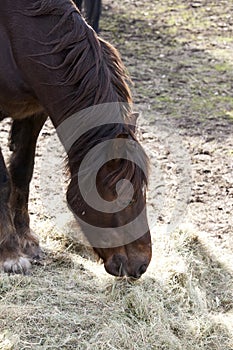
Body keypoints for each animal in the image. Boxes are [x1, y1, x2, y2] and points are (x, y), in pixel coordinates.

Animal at [0, 0, 152, 278]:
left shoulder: (34, 112)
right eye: (127, 198)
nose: (141, 265)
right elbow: (3, 180)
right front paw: (10, 254)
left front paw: (26, 240)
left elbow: (22, 172)